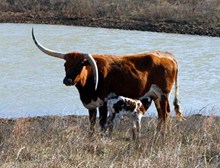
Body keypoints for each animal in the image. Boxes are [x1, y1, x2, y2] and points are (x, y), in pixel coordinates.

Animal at [31, 28, 185, 134]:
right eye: (65, 65)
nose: (67, 80)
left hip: (163, 94)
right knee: (161, 115)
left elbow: (102, 124)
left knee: (165, 114)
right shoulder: (91, 105)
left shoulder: (103, 103)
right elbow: (92, 124)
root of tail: (168, 56)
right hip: (155, 96)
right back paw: (158, 134)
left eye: (79, 66)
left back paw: (162, 135)